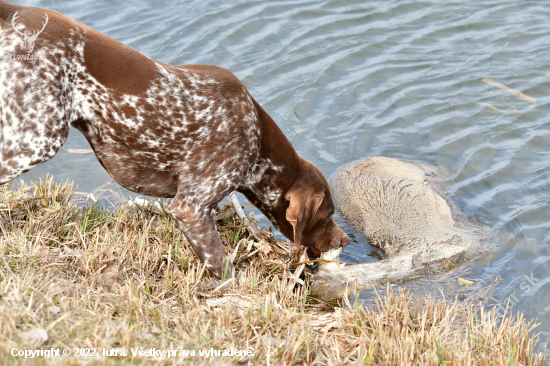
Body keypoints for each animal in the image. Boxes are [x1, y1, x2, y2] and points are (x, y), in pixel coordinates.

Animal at [0, 1, 350, 278]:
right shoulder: (191, 208)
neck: (258, 137)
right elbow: (223, 268)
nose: (346, 241)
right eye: (327, 216)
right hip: (38, 138)